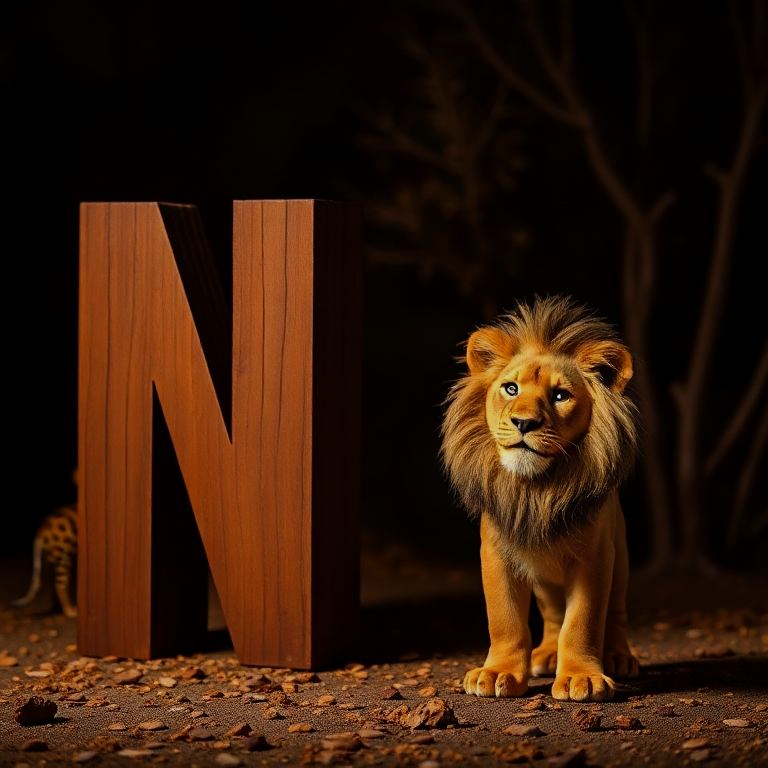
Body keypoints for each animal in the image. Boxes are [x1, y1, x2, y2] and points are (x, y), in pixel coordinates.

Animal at [441, 295, 639, 702]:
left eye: (560, 396)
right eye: (510, 389)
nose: (524, 423)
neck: (536, 489)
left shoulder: (595, 555)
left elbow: (582, 621)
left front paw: (582, 678)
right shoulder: (496, 552)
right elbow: (504, 620)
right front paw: (498, 672)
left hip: (622, 558)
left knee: (614, 613)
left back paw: (617, 657)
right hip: (546, 583)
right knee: (552, 615)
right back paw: (547, 655)